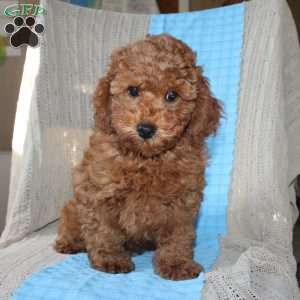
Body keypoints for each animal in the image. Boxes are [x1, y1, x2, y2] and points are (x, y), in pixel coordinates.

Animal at [55, 34, 221, 280]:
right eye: (133, 90)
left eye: (172, 95)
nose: (145, 129)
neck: (145, 159)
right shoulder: (98, 193)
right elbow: (105, 230)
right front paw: (110, 259)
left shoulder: (183, 201)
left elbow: (179, 235)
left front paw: (176, 263)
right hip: (74, 206)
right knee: (70, 220)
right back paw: (70, 242)